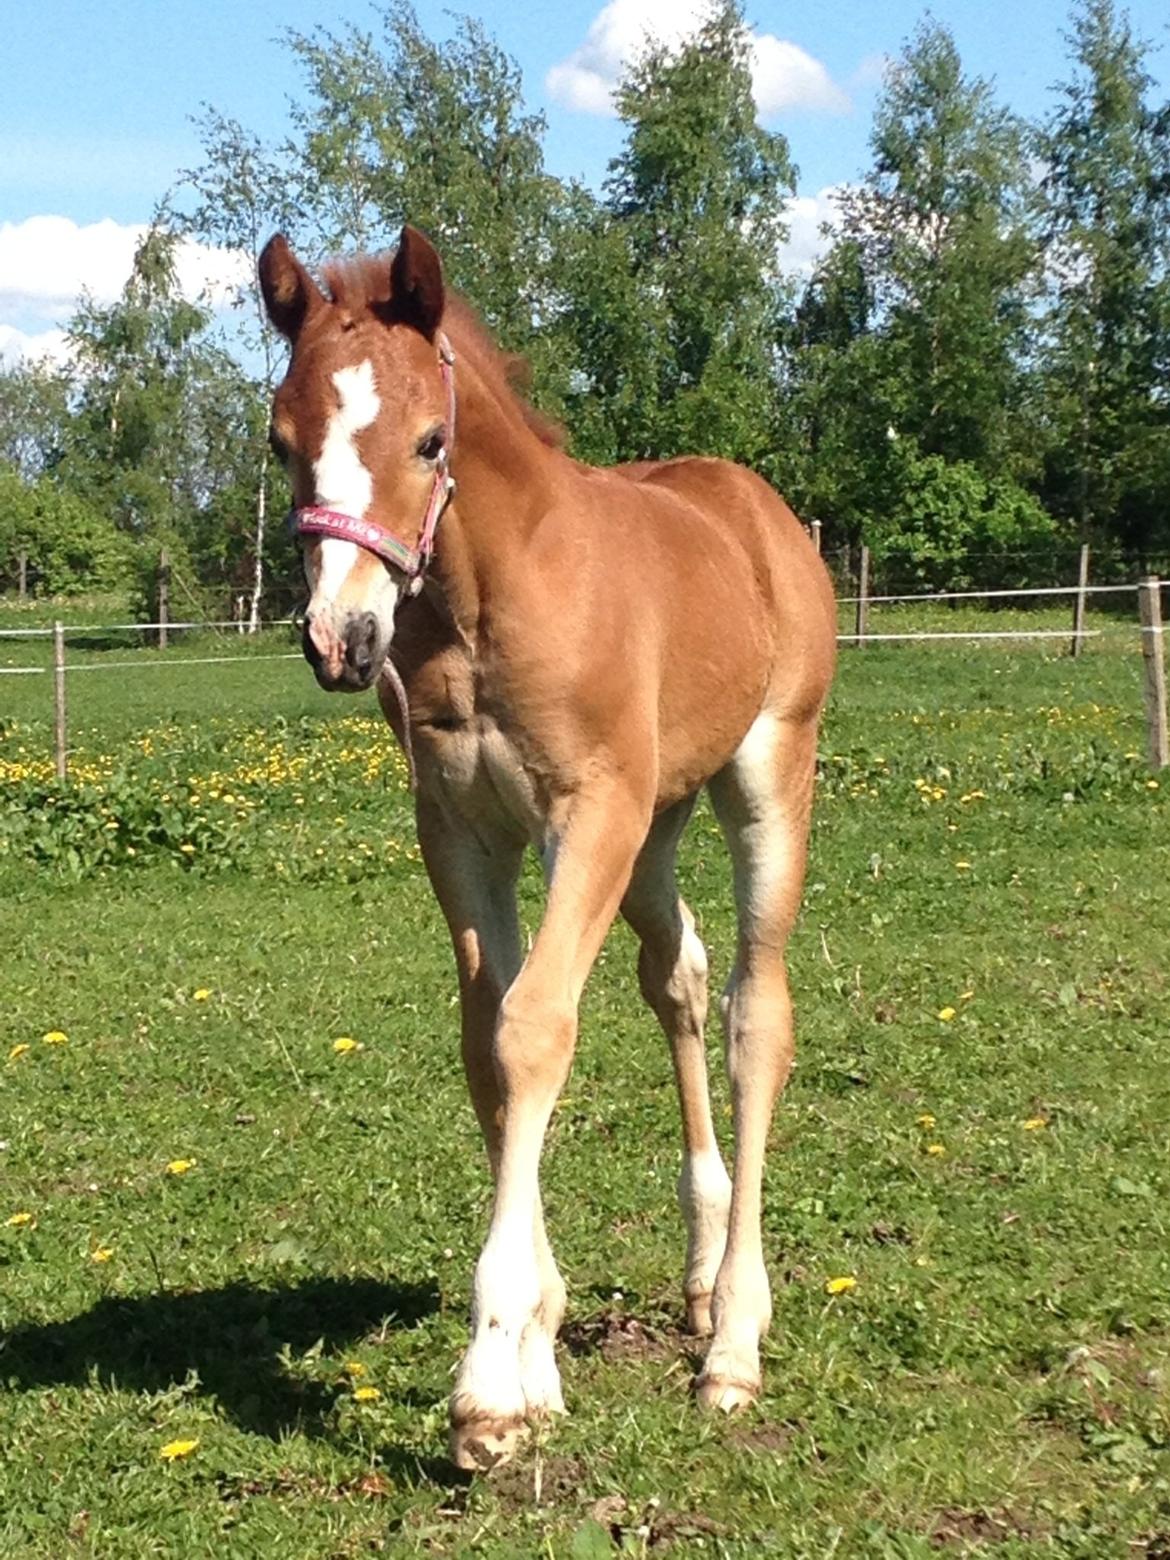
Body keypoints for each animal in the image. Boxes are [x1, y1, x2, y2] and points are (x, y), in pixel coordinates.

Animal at [260, 226, 836, 1466]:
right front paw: (535, 1352)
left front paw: (488, 1382)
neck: (489, 601)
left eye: (431, 441)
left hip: (764, 776)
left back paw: (734, 1343)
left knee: (756, 1014)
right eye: (283, 442)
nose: (340, 638)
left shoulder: (590, 814)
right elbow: (488, 1047)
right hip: (657, 827)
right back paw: (701, 1281)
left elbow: (535, 1032)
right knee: (679, 978)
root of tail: (756, 506)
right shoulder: (462, 829)